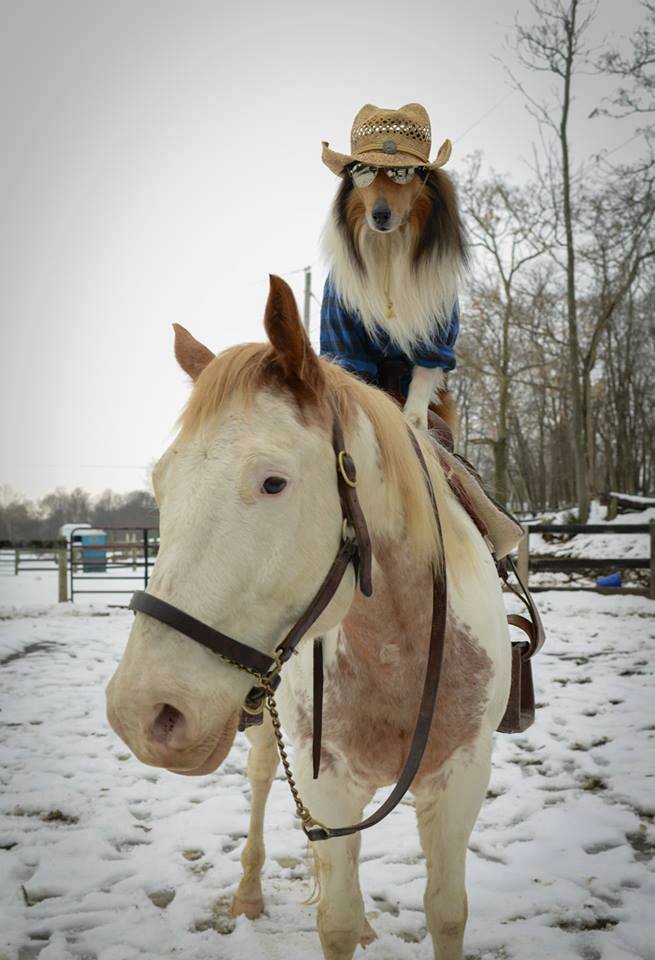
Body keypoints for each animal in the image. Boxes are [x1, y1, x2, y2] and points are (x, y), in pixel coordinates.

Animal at [105, 274, 512, 956]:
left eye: (273, 482)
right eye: (161, 484)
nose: (142, 713)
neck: (396, 645)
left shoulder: (461, 780)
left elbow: (446, 912)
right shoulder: (329, 780)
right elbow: (337, 918)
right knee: (262, 779)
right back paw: (249, 893)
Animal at [322, 167, 466, 434]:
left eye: (401, 174)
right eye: (364, 175)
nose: (380, 215)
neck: (390, 244)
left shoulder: (438, 330)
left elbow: (424, 373)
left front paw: (415, 419)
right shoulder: (344, 334)